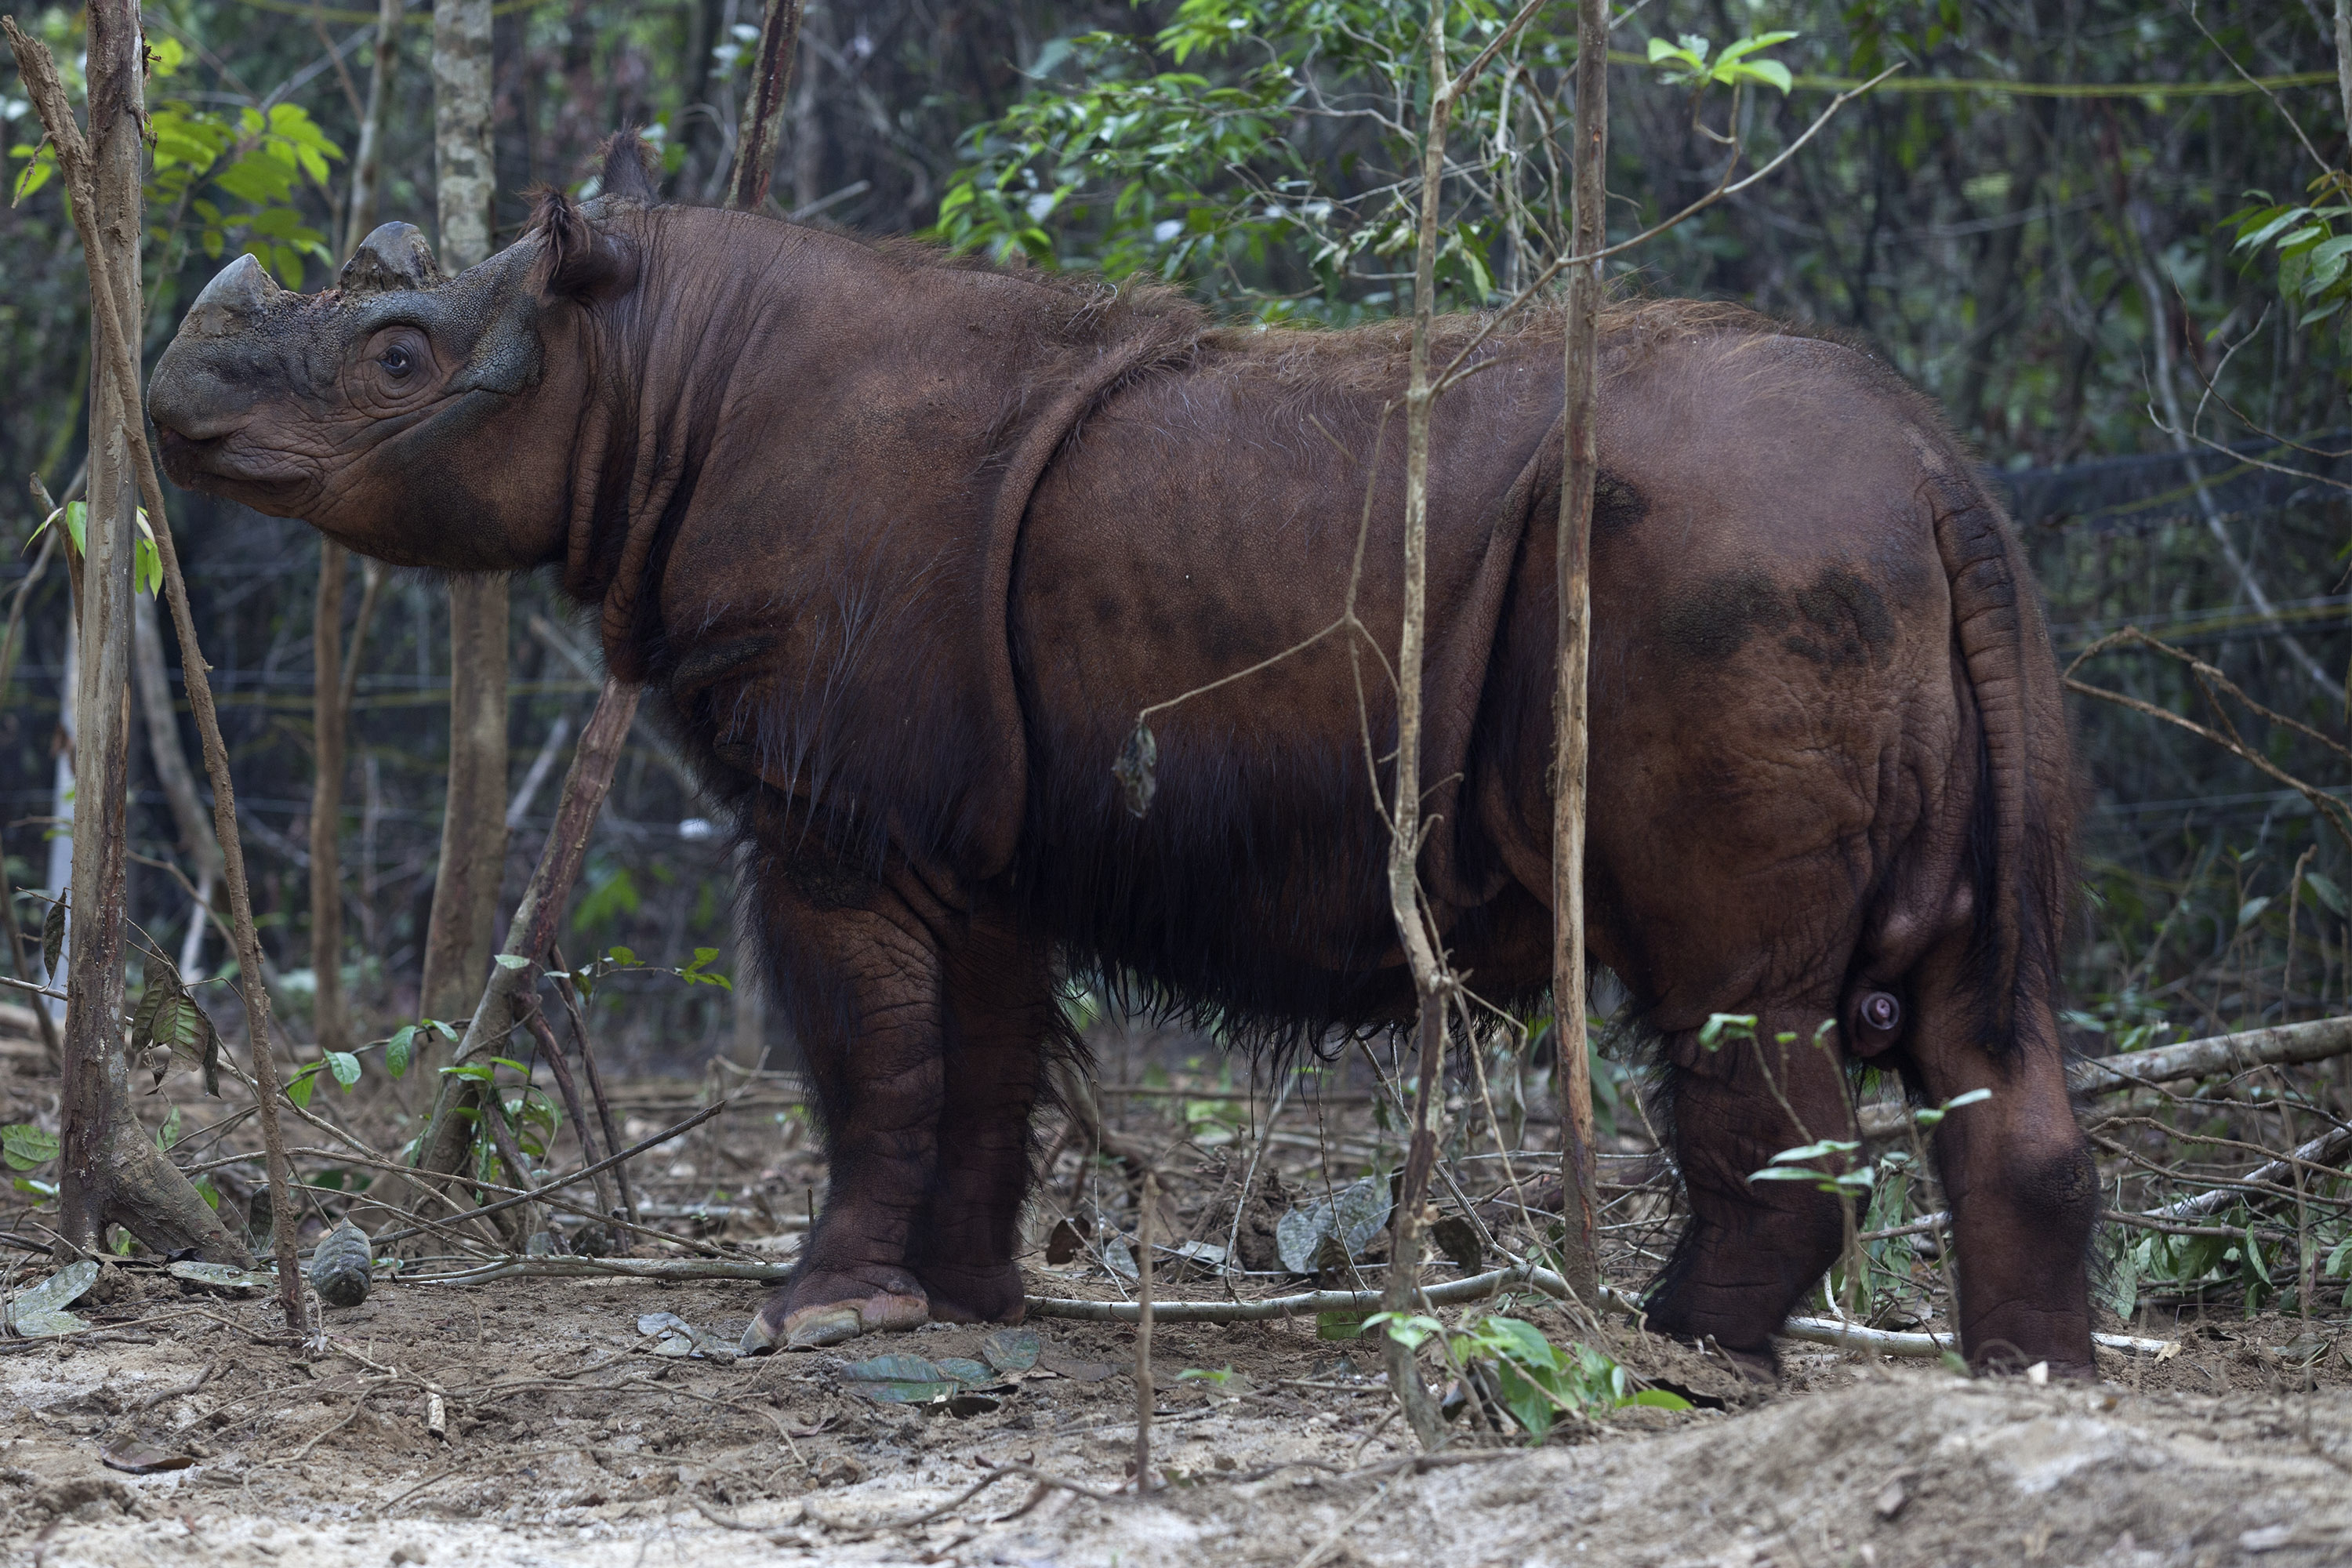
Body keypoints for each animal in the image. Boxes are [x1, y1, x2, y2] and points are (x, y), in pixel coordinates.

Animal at [148, 135, 2095, 1375]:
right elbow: (981, 1055)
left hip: (1737, 558)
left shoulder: (836, 813)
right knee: (1982, 1017)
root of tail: (1936, 467)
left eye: (399, 358)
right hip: (1873, 573)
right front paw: (963, 1300)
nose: (176, 404)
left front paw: (817, 1317)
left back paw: (1679, 1355)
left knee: (1732, 998)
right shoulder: (978, 827)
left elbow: (869, 1058)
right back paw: (2029, 1383)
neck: (644, 356)